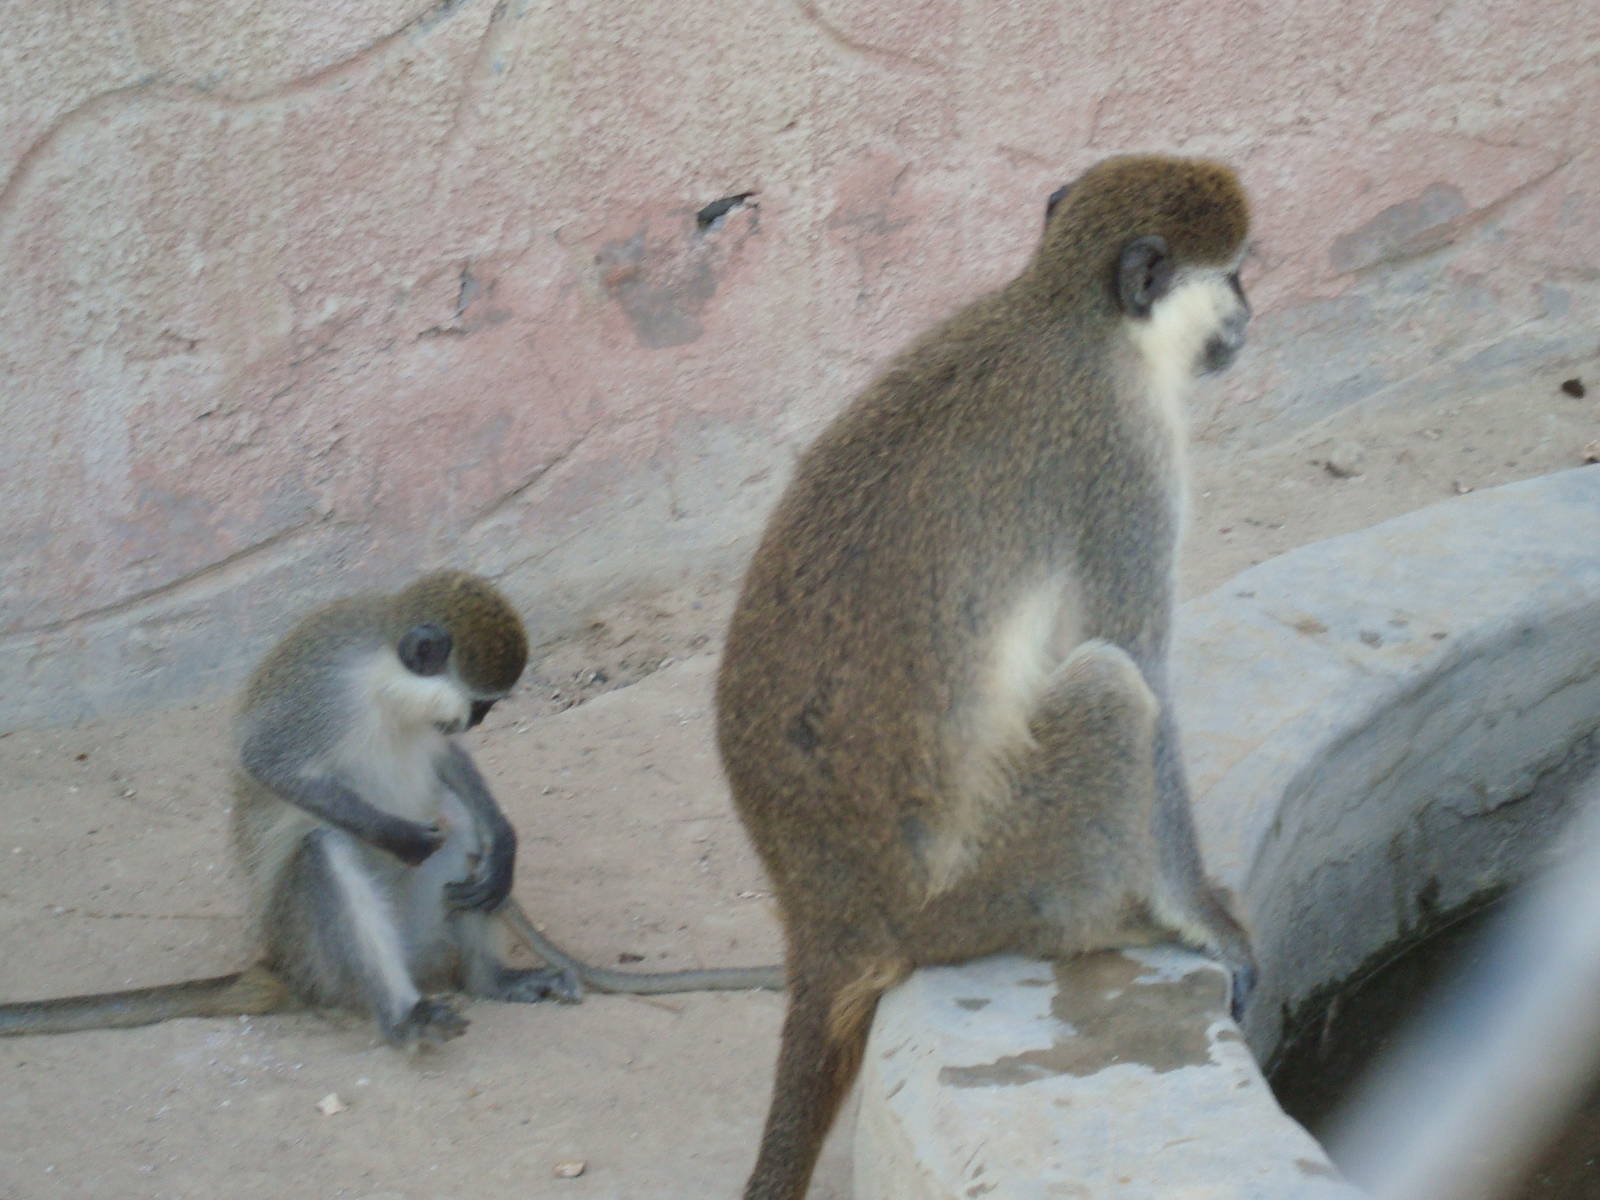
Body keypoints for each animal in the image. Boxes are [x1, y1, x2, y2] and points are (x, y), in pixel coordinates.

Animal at [0, 571, 779, 1047]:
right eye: (482, 705)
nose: (475, 722)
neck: (380, 673)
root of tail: (275, 967)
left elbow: (446, 770)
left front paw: (504, 836)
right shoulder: (319, 691)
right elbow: (268, 762)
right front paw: (400, 837)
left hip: (424, 936)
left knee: (465, 842)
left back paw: (491, 976)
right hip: (313, 954)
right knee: (325, 853)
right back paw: (402, 1017)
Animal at [715, 154, 1258, 1198]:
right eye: (1238, 273)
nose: (1253, 311)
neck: (1071, 314)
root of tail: (831, 919)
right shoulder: (1124, 458)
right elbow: (1140, 662)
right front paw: (1201, 916)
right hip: (992, 882)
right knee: (1111, 690)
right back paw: (1104, 923)